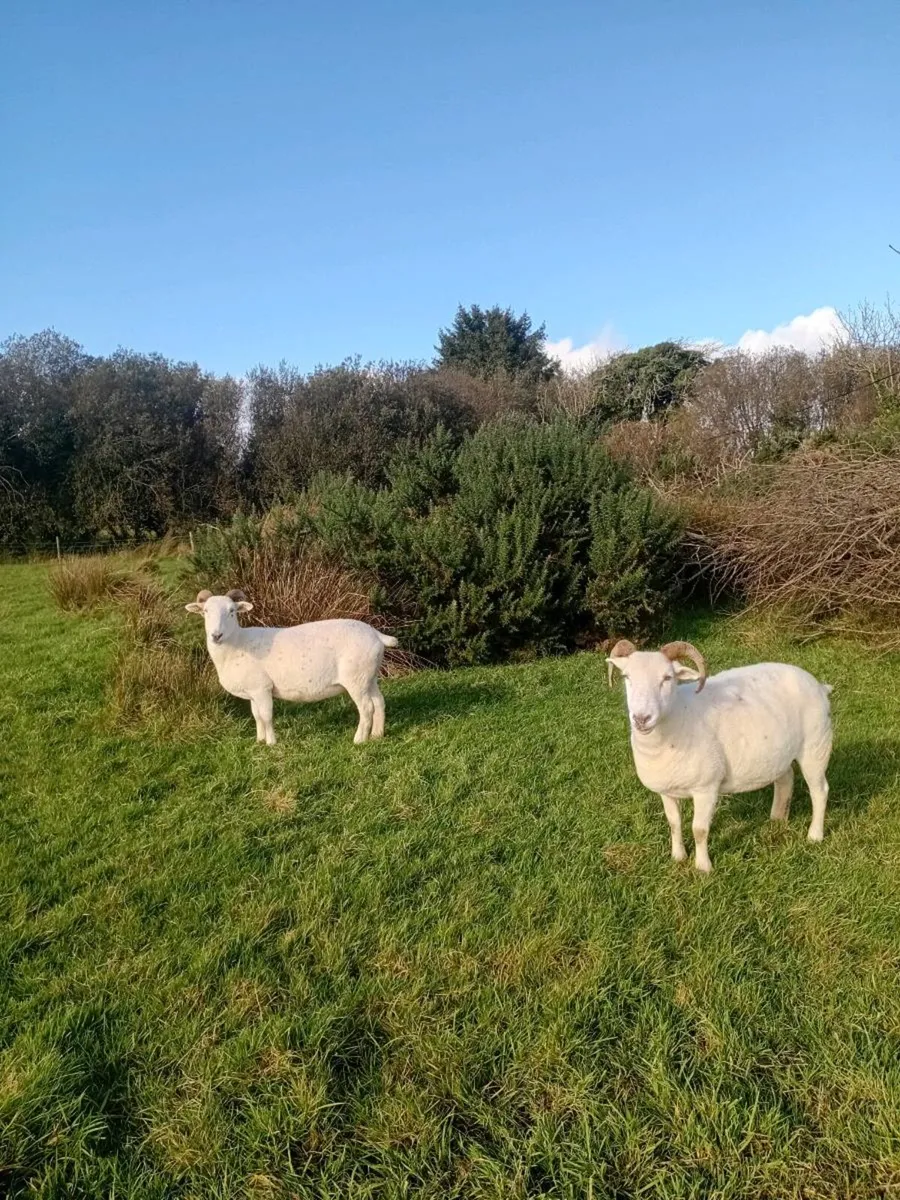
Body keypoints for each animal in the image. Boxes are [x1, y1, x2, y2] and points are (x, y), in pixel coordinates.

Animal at [185, 589, 398, 745]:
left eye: (232, 611)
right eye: (205, 612)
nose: (216, 635)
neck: (237, 643)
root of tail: (376, 634)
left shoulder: (262, 688)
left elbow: (266, 716)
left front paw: (271, 743)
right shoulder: (253, 690)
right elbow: (257, 716)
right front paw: (259, 740)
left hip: (356, 678)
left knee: (367, 708)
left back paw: (359, 739)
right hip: (369, 676)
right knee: (379, 702)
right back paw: (377, 735)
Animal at [606, 639, 833, 873]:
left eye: (667, 678)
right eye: (626, 677)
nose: (642, 718)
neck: (679, 717)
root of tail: (818, 685)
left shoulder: (706, 788)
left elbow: (699, 830)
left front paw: (703, 867)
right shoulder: (666, 791)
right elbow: (674, 824)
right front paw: (678, 857)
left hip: (816, 746)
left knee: (820, 791)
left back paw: (814, 835)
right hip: (778, 752)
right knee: (786, 778)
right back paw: (777, 819)